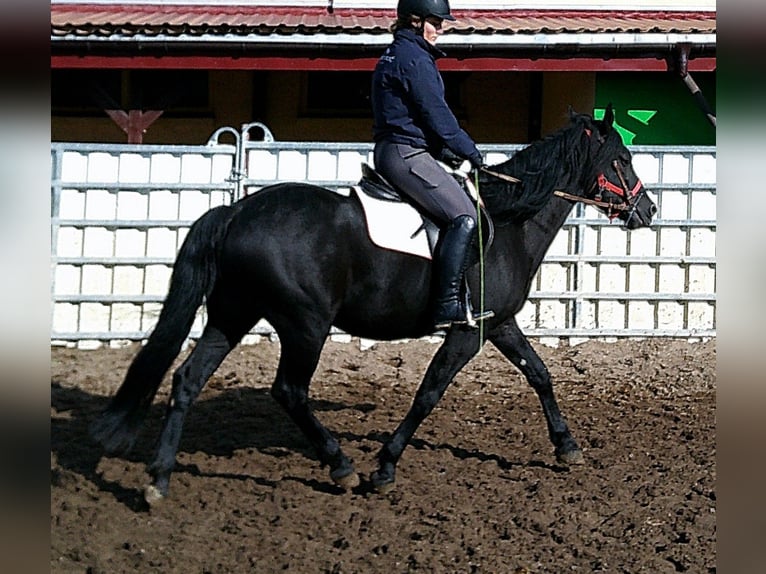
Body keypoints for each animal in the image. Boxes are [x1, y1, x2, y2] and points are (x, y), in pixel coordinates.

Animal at [90, 106, 657, 503]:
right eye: (622, 159)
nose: (647, 210)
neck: (508, 220)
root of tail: (235, 212)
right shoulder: (466, 332)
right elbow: (428, 393)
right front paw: (385, 466)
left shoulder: (497, 324)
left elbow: (539, 374)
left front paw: (567, 446)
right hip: (305, 325)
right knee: (289, 391)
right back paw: (341, 466)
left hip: (233, 315)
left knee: (188, 379)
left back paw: (159, 480)